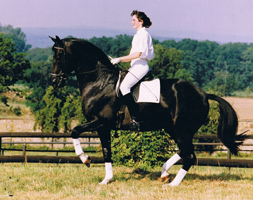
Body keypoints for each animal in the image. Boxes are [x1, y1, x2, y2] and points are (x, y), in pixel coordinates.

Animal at [50, 35, 245, 186]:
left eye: (59, 56)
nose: (54, 82)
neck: (99, 82)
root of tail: (203, 94)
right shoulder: (102, 127)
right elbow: (106, 151)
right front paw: (106, 179)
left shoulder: (100, 122)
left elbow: (75, 131)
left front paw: (85, 159)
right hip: (174, 128)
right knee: (184, 151)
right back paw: (164, 172)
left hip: (182, 129)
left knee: (189, 155)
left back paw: (172, 184)